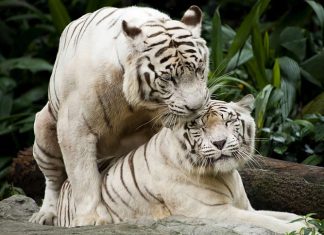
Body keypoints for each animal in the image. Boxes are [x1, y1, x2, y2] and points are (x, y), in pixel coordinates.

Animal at [29, 5, 209, 226]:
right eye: (168, 78)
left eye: (199, 69)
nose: (196, 106)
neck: (136, 103)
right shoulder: (75, 128)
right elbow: (83, 176)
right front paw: (90, 218)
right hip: (44, 130)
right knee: (53, 180)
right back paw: (46, 215)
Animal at [54, 95, 306, 233]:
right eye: (199, 127)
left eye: (228, 121)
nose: (220, 142)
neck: (225, 175)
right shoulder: (212, 212)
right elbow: (266, 221)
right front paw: (299, 229)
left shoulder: (246, 207)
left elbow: (281, 214)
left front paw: (307, 222)